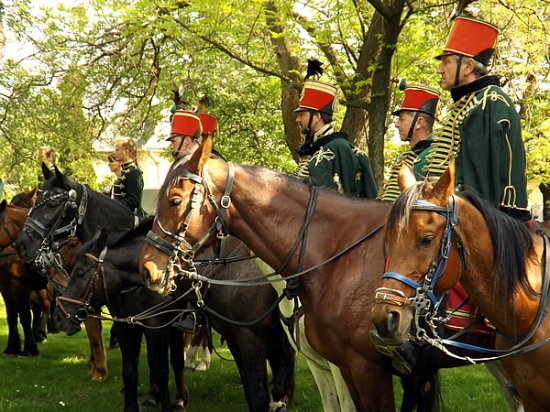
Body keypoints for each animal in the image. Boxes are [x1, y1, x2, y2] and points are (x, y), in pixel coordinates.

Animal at [53, 225, 188, 411]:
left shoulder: (156, 327)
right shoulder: (126, 327)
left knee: (176, 359)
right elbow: (130, 372)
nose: (58, 317)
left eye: (80, 272)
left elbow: (161, 371)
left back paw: (180, 399)